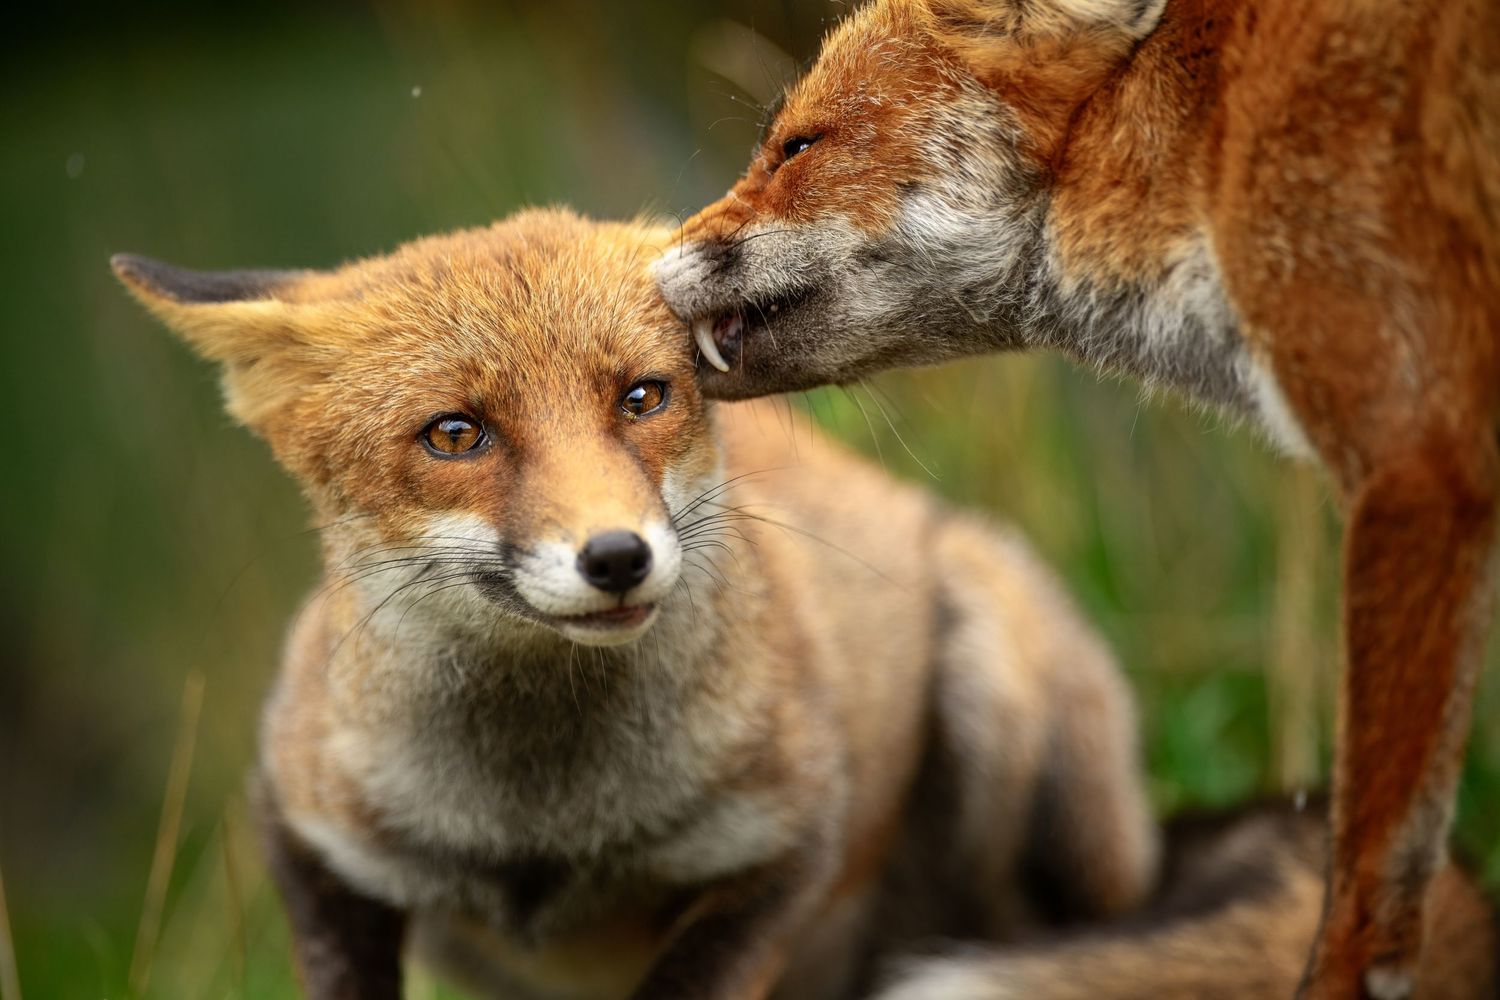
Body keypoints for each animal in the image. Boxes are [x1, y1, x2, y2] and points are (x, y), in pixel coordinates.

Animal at [109, 208, 1161, 1000]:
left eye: (643, 396)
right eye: (455, 433)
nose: (617, 556)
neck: (541, 827)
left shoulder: (785, 849)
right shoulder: (306, 838)